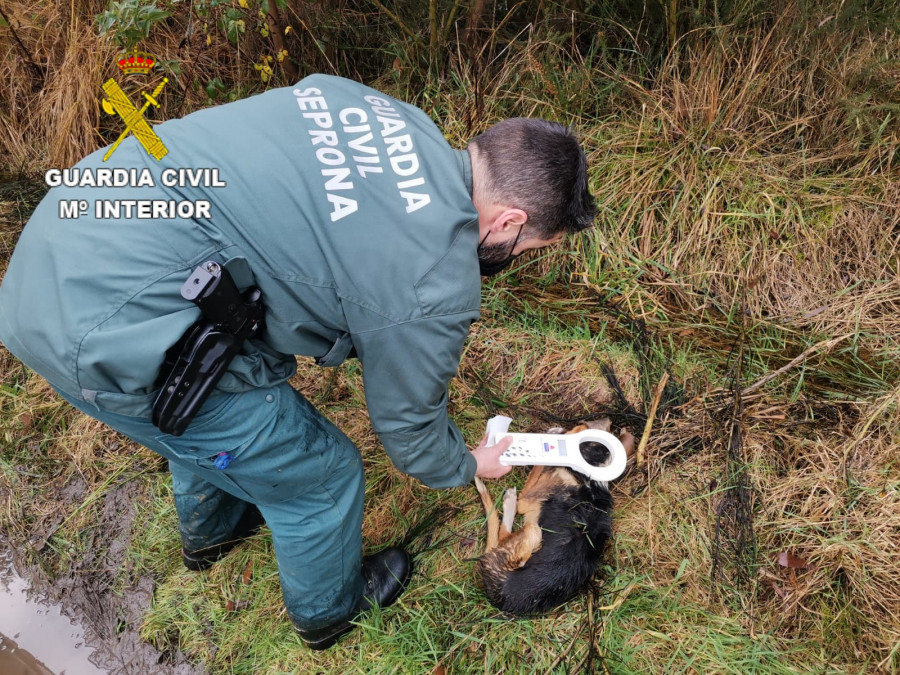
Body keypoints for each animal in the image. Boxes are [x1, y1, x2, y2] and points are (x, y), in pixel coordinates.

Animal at [472, 422, 632, 616]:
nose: (554, 429)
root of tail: (495, 591)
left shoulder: (528, 500)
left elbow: (538, 468)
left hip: (533, 533)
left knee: (503, 532)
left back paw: (509, 500)